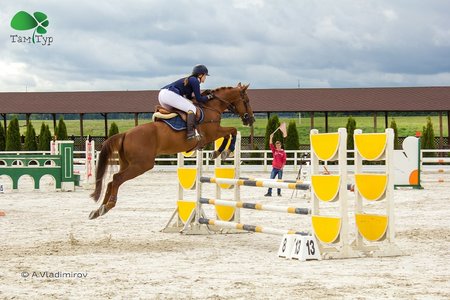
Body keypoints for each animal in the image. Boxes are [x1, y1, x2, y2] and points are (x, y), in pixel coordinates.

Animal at [89, 83, 255, 219]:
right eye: (246, 101)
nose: (251, 120)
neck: (211, 108)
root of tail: (125, 134)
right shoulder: (212, 133)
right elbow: (232, 131)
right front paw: (224, 151)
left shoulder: (214, 133)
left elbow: (229, 133)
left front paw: (220, 152)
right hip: (141, 165)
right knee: (116, 179)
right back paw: (108, 206)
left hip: (127, 163)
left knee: (111, 182)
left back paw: (97, 210)